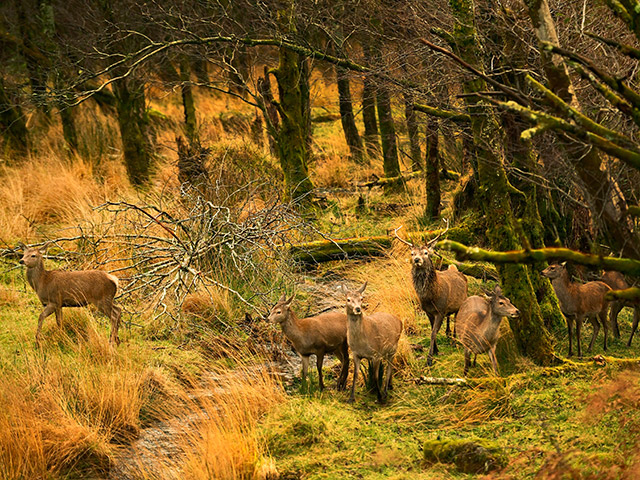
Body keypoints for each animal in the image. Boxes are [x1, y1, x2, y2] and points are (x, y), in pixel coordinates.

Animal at [396, 223, 464, 366]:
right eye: (412, 253)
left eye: (426, 252)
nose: (417, 259)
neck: (431, 297)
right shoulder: (428, 311)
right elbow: (432, 330)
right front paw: (436, 350)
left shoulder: (440, 310)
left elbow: (433, 333)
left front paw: (429, 358)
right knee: (450, 318)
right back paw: (448, 334)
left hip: (461, 303)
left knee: (457, 320)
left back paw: (455, 341)